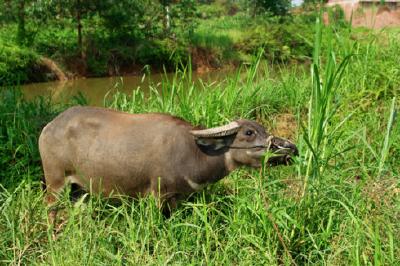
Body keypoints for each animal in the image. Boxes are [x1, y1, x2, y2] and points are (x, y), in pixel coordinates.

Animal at [39, 105, 296, 214]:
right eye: (249, 133)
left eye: (263, 128)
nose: (291, 148)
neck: (195, 153)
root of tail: (49, 127)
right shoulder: (156, 194)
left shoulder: (176, 197)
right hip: (55, 183)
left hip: (79, 189)